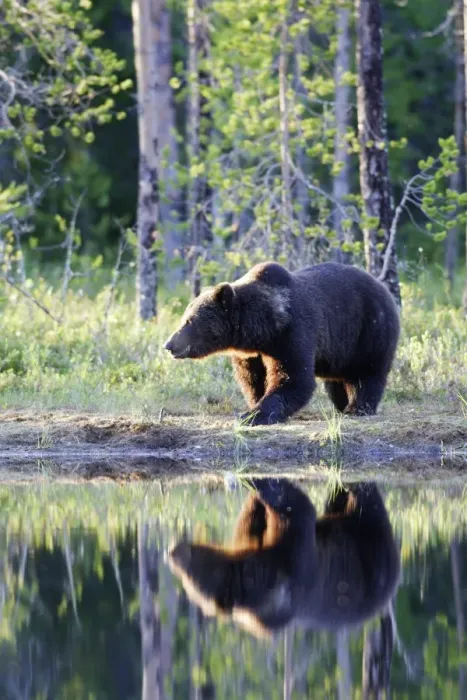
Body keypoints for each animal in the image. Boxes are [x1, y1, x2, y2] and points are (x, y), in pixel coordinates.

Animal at [164, 262, 400, 426]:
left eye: (189, 320)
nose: (169, 344)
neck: (264, 329)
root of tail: (383, 287)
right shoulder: (250, 354)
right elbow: (252, 379)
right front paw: (255, 403)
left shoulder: (292, 333)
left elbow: (293, 378)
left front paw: (253, 416)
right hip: (342, 349)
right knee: (337, 381)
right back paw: (342, 405)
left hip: (369, 328)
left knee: (368, 371)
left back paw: (358, 407)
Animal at [169, 479, 400, 638]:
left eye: (189, 577)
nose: (172, 553)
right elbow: (252, 522)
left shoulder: (293, 565)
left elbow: (296, 509)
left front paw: (266, 484)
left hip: (369, 557)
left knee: (366, 505)